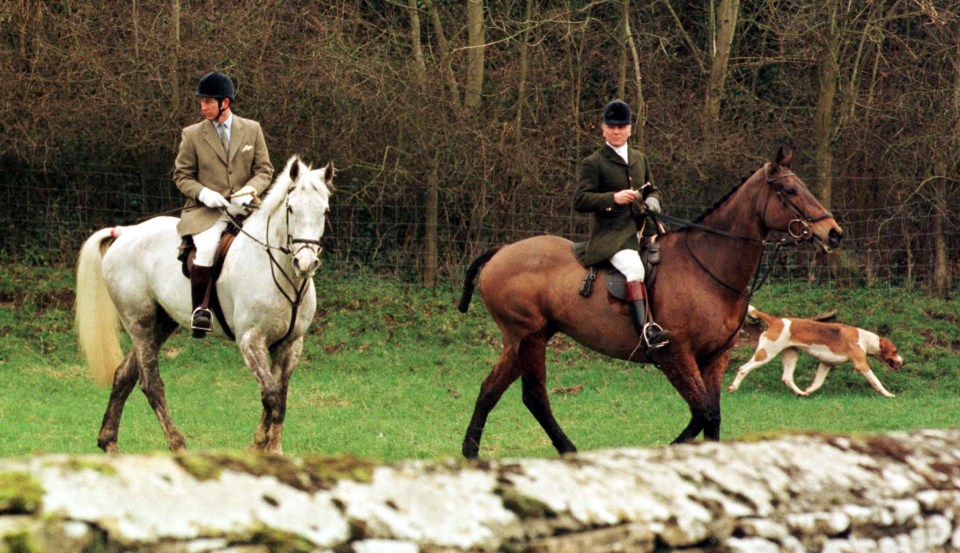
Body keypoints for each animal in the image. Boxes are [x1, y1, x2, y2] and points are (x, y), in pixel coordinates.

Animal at [74, 155, 334, 452]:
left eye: (324, 211)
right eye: (291, 209)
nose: (306, 264)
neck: (281, 273)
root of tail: (125, 233)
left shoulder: (291, 343)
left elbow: (279, 396)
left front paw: (269, 448)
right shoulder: (250, 339)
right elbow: (271, 395)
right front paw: (260, 448)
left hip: (161, 324)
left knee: (124, 375)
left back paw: (109, 443)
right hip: (139, 322)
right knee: (151, 384)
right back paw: (178, 446)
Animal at [458, 147, 840, 458]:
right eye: (790, 190)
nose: (834, 233)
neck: (706, 264)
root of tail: (502, 251)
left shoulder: (714, 358)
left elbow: (713, 417)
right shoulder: (675, 354)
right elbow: (703, 412)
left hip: (521, 340)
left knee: (491, 390)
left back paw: (472, 453)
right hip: (530, 337)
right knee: (535, 396)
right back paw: (567, 450)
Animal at [728, 306, 908, 396]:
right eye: (895, 351)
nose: (903, 362)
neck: (864, 339)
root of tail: (775, 321)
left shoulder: (826, 364)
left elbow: (818, 383)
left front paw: (809, 390)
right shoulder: (861, 365)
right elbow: (877, 382)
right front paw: (888, 394)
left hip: (791, 355)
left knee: (787, 378)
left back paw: (801, 393)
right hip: (766, 354)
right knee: (743, 368)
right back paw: (733, 388)